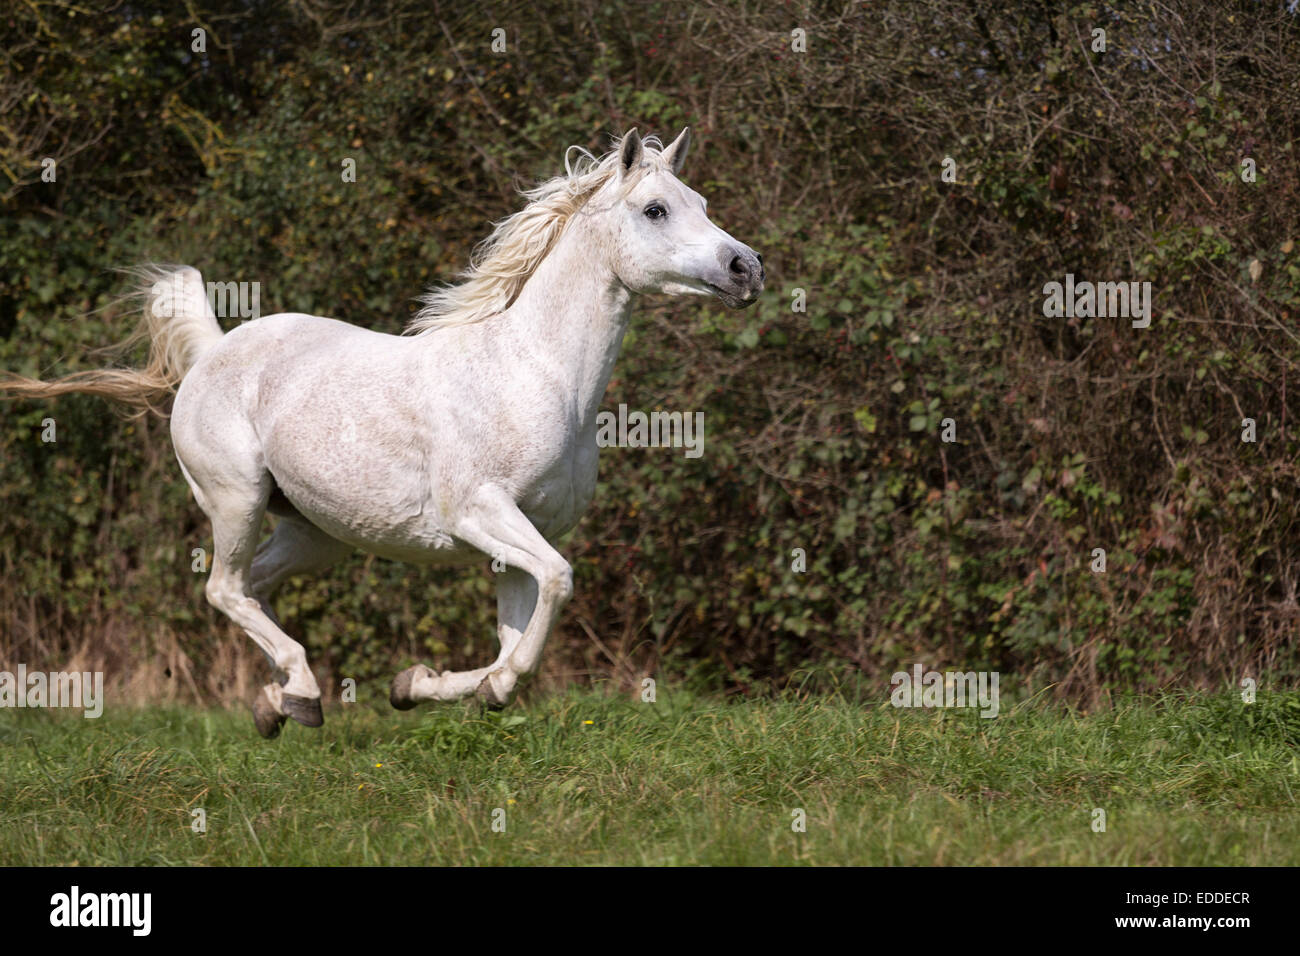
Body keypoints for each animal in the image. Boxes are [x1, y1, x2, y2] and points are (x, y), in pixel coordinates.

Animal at [0, 128, 765, 737]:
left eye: (701, 202)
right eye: (655, 209)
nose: (747, 268)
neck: (536, 372)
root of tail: (214, 351)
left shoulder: (519, 537)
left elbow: (518, 628)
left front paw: (420, 687)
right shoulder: (482, 513)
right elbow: (555, 585)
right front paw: (482, 690)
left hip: (316, 532)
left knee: (254, 587)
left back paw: (275, 703)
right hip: (236, 500)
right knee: (223, 590)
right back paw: (303, 696)